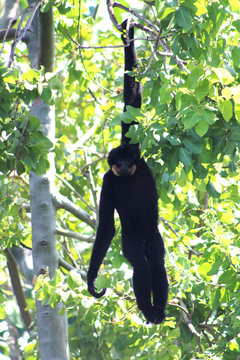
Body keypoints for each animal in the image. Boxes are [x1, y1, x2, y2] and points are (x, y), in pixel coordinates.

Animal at [86, 20, 169, 324]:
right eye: (117, 162)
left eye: (126, 160)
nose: (122, 166)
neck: (129, 175)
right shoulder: (108, 181)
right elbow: (107, 228)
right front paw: (91, 280)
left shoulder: (134, 148)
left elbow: (132, 101)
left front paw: (128, 32)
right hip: (132, 239)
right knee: (143, 265)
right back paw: (150, 309)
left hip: (153, 235)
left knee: (156, 262)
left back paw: (156, 309)